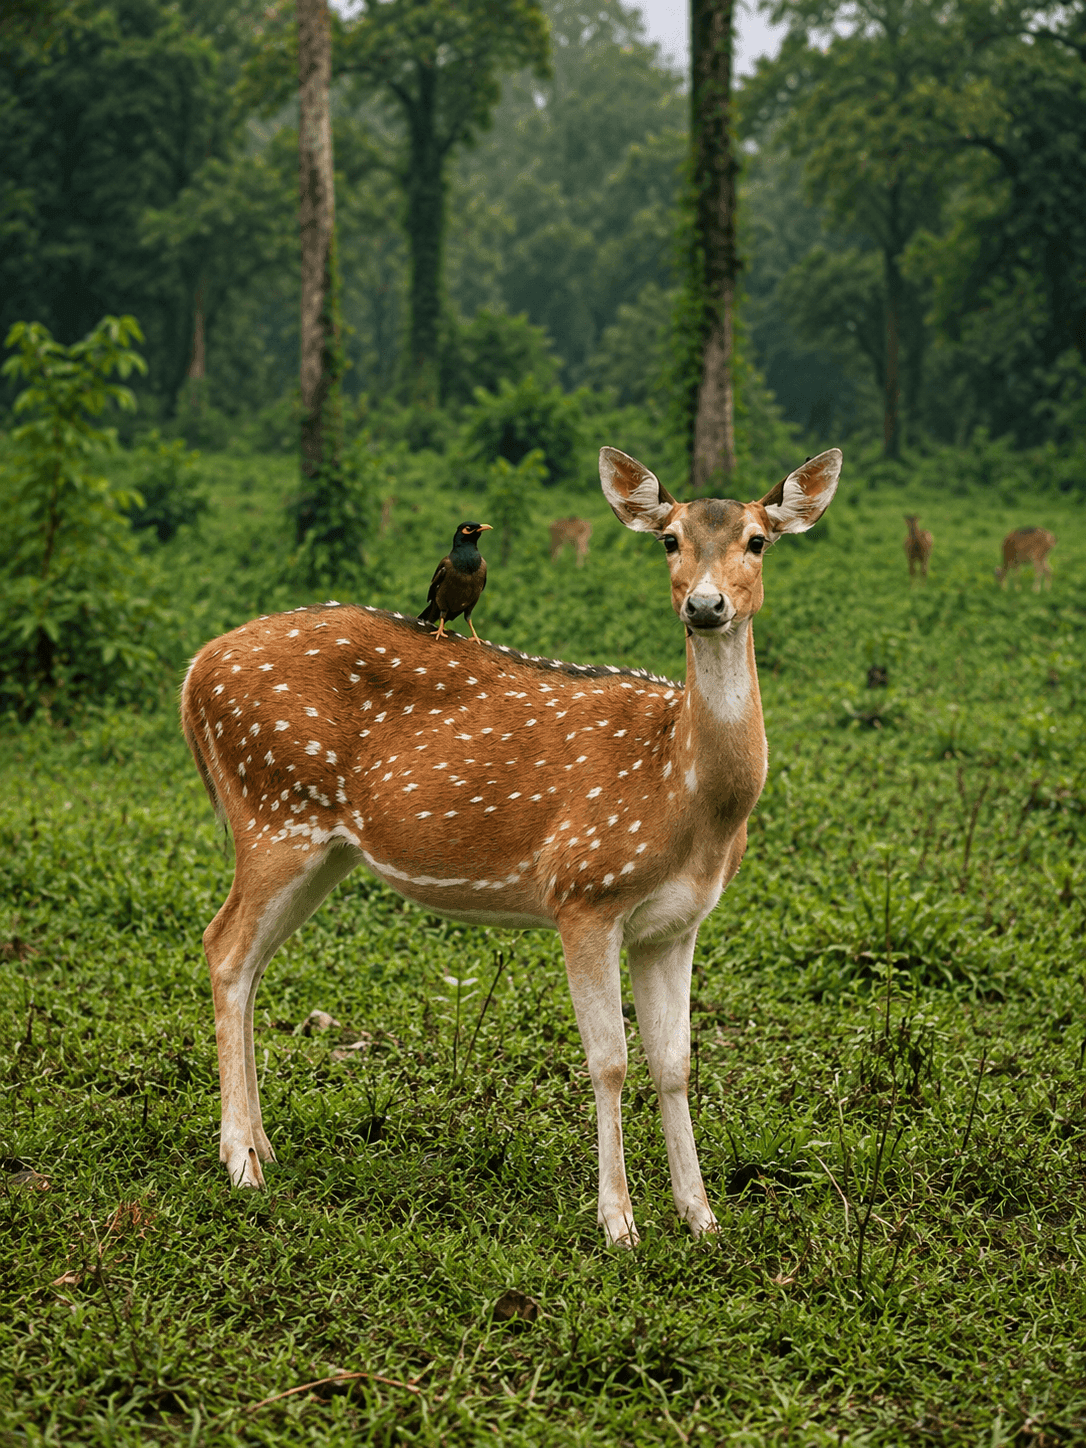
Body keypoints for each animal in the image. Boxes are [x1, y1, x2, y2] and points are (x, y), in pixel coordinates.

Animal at [180, 445, 841, 1246]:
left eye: (758, 541)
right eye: (669, 540)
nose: (706, 606)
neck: (683, 798)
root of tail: (193, 672)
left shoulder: (676, 923)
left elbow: (676, 1063)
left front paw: (701, 1216)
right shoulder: (585, 891)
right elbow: (610, 1061)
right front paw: (618, 1223)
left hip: (319, 846)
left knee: (247, 963)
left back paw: (262, 1145)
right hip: (273, 813)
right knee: (223, 947)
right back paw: (240, 1162)